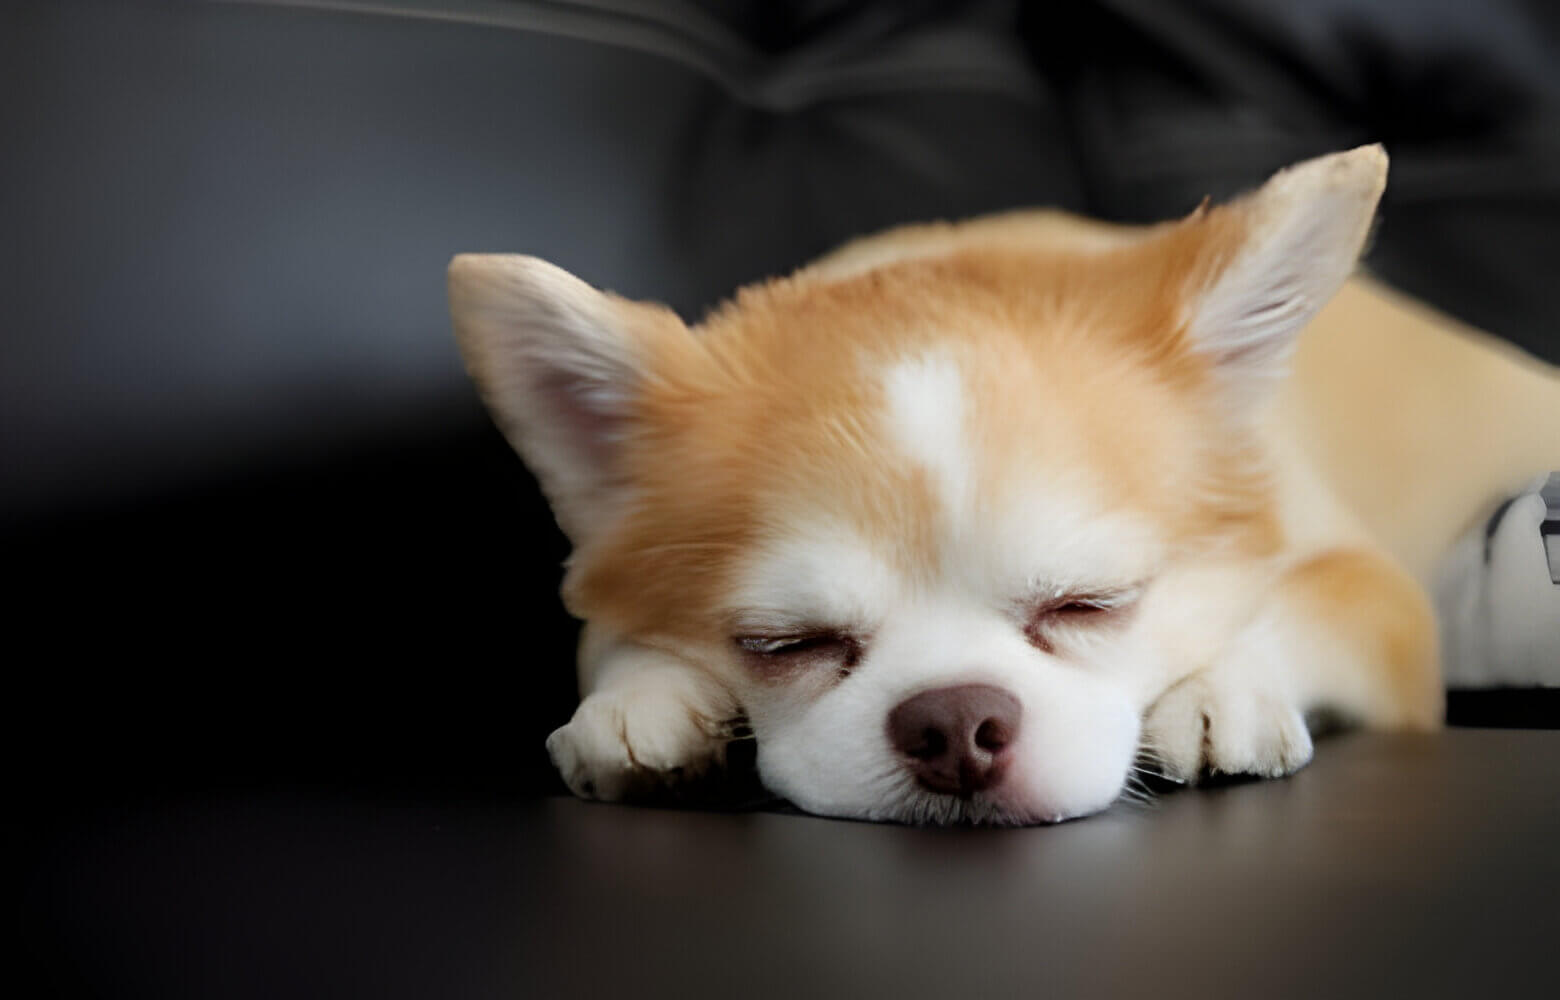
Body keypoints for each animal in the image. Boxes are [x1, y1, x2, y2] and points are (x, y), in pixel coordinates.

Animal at [446, 146, 1553, 817]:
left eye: (1090, 605)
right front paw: (644, 702)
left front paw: (1220, 679)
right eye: (784, 644)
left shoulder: (1387, 606)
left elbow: (1296, 600)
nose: (951, 722)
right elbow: (612, 640)